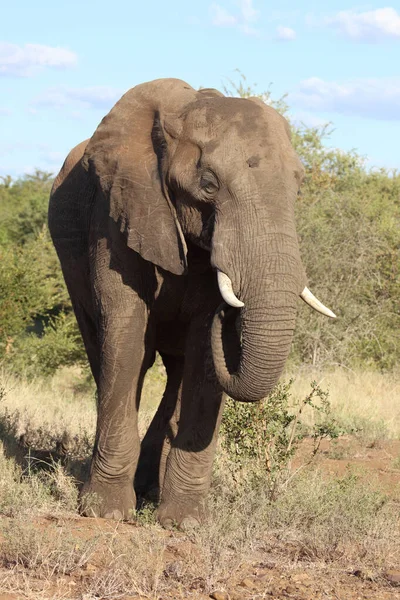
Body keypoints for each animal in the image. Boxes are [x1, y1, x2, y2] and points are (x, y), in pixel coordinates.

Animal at [48, 77, 334, 528]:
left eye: (299, 187)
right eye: (209, 186)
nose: (229, 314)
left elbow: (202, 354)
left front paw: (185, 523)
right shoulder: (116, 212)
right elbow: (127, 335)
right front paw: (104, 512)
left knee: (178, 370)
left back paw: (151, 488)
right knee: (110, 352)